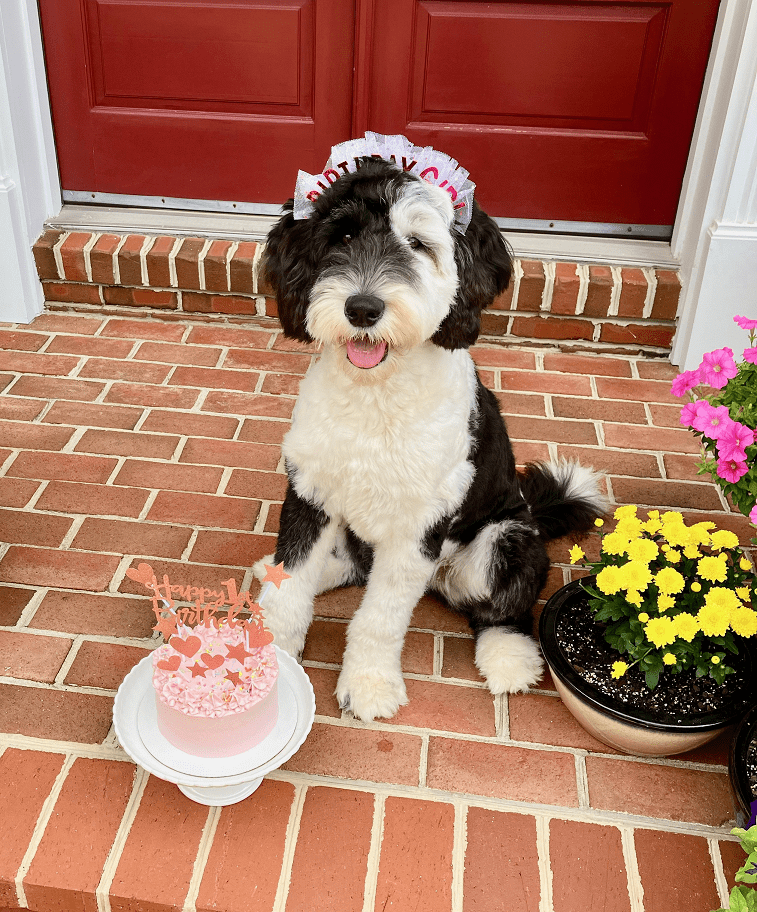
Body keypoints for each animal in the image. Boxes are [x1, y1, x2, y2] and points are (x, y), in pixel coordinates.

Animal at [254, 160, 604, 724]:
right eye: (342, 236)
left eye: (417, 244)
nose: (363, 308)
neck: (376, 397)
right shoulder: (311, 491)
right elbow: (292, 584)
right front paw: (270, 653)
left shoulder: (419, 526)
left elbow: (380, 618)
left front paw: (369, 684)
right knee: (347, 566)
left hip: (502, 540)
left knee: (502, 608)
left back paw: (509, 657)